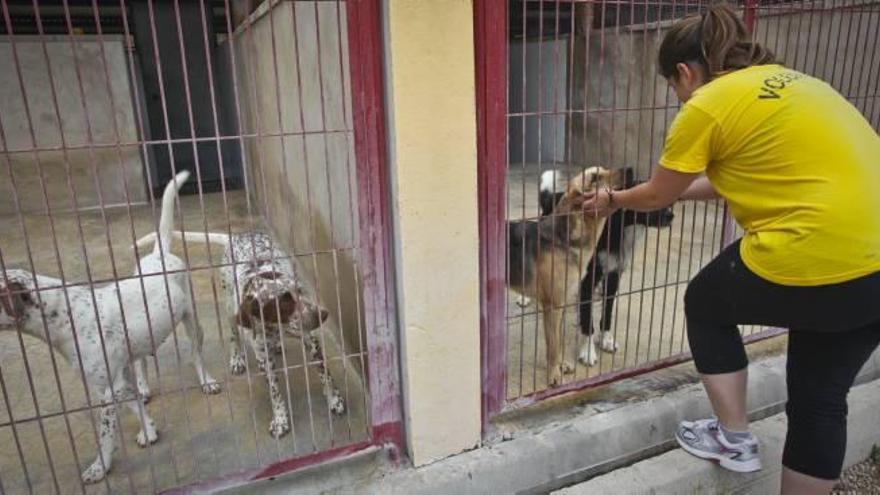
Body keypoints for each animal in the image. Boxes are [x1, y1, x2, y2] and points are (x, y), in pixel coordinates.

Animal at [136, 231, 346, 436]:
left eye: (300, 291)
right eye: (283, 304)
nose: (323, 314)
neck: (274, 326)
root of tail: (235, 236)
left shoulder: (311, 341)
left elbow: (325, 373)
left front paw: (334, 399)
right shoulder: (263, 358)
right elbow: (274, 392)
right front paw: (280, 419)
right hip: (230, 309)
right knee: (233, 336)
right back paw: (237, 359)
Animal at [506, 167, 624, 388]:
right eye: (595, 178)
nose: (628, 170)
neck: (565, 239)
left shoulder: (558, 306)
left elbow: (557, 342)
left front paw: (561, 366)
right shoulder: (552, 306)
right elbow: (553, 345)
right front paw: (554, 375)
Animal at [524, 169, 672, 366]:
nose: (671, 215)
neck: (617, 226)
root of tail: (555, 195)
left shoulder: (614, 274)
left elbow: (607, 312)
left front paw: (606, 339)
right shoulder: (588, 278)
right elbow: (588, 319)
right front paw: (587, 351)